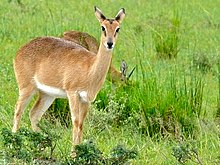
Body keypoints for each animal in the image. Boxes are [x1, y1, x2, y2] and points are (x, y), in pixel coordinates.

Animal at [12, 6, 125, 146]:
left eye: (117, 28)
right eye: (102, 27)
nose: (110, 43)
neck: (90, 68)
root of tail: (21, 50)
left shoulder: (86, 99)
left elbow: (81, 124)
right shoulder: (73, 94)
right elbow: (75, 123)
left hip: (47, 95)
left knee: (34, 114)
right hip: (26, 88)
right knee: (18, 111)